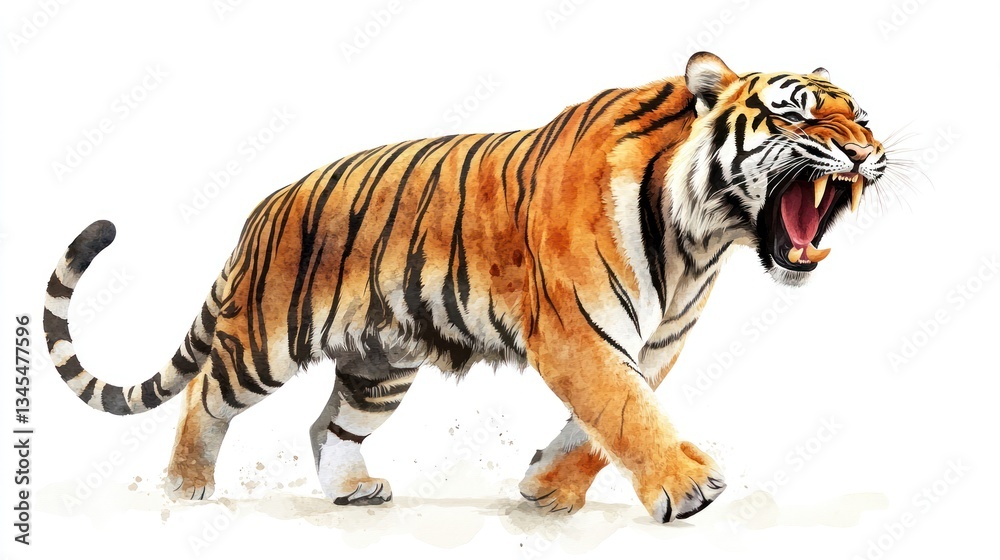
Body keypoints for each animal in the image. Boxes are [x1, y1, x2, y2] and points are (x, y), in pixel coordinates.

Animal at [43, 52, 888, 523]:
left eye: (864, 118)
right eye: (795, 115)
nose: (866, 154)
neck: (699, 240)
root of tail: (264, 208)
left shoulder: (652, 344)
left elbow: (603, 424)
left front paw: (548, 492)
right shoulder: (577, 335)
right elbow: (627, 414)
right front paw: (688, 486)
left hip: (379, 365)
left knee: (327, 426)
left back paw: (352, 492)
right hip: (265, 338)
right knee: (202, 397)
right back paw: (185, 489)